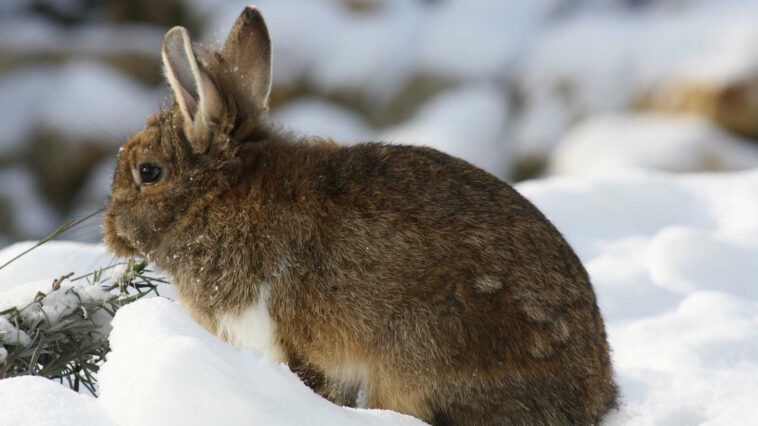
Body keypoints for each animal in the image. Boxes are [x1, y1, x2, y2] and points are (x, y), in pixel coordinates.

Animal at [104, 7, 617, 425]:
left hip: (425, 351)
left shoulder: (296, 346)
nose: (109, 231)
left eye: (148, 172)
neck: (217, 196)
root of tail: (594, 399)